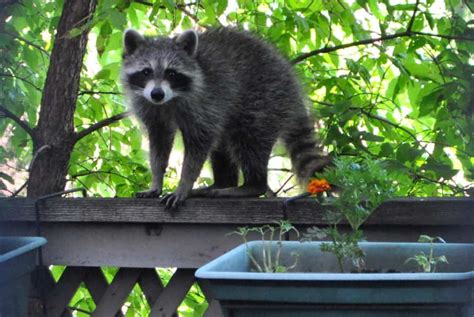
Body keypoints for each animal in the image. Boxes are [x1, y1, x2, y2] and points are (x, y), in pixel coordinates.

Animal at [121, 27, 330, 210]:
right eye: (146, 71)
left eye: (171, 73)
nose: (157, 94)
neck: (169, 100)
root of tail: (291, 82)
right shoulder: (151, 109)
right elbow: (159, 144)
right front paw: (156, 180)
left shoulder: (205, 102)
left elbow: (199, 145)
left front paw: (184, 184)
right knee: (222, 145)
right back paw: (222, 183)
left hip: (264, 100)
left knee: (248, 140)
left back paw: (252, 185)